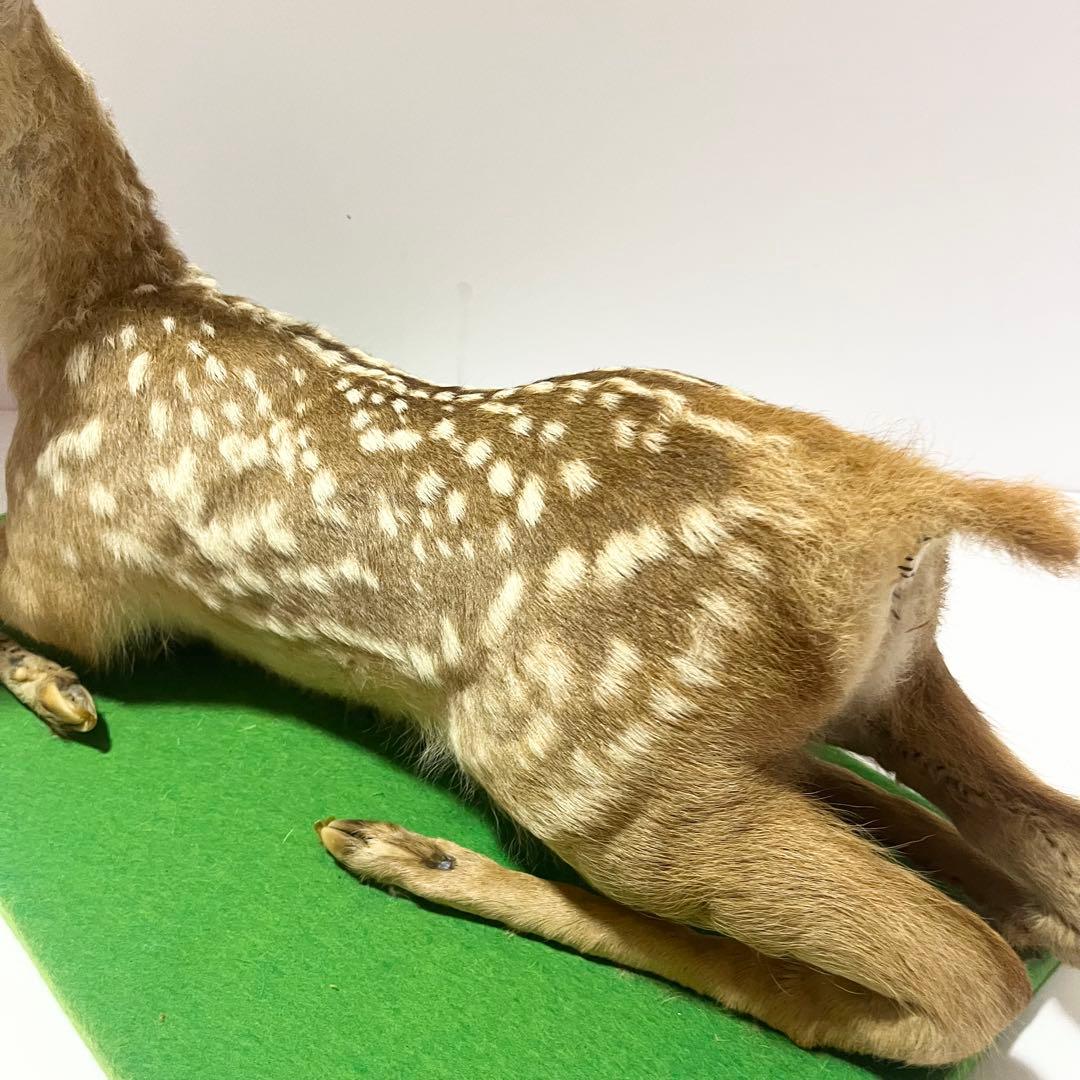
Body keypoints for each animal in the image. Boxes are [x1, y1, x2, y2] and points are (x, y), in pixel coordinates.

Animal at [1, 2, 1078, 1067]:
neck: (72, 322)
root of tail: (893, 492)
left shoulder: (67, 571)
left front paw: (53, 689)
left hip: (598, 771)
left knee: (967, 975)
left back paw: (410, 855)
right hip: (879, 686)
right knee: (1036, 862)